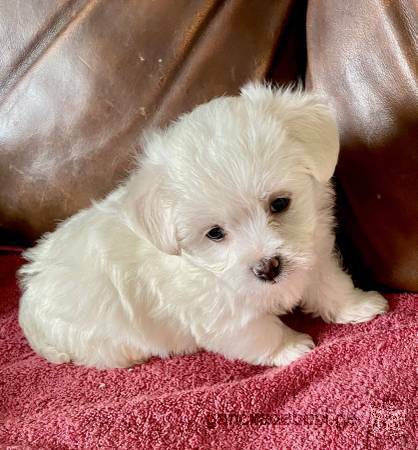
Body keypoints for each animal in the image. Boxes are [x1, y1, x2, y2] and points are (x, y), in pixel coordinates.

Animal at [17, 82, 388, 368]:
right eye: (215, 233)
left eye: (280, 203)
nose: (268, 268)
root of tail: (30, 295)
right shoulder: (220, 311)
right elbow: (257, 330)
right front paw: (290, 347)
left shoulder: (313, 251)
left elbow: (329, 282)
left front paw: (358, 305)